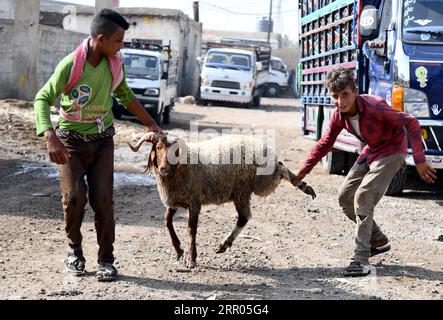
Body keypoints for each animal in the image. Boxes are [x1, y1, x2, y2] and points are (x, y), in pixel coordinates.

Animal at [128, 132, 316, 268]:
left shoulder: (194, 201)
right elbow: (167, 221)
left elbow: (191, 230)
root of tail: (268, 151)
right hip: (243, 190)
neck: (180, 170)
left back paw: (302, 185)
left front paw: (191, 259)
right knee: (244, 216)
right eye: (158, 147)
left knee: (279, 172)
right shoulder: (175, 201)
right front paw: (178, 250)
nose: (164, 169)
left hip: (256, 184)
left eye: (175, 152)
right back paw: (224, 245)